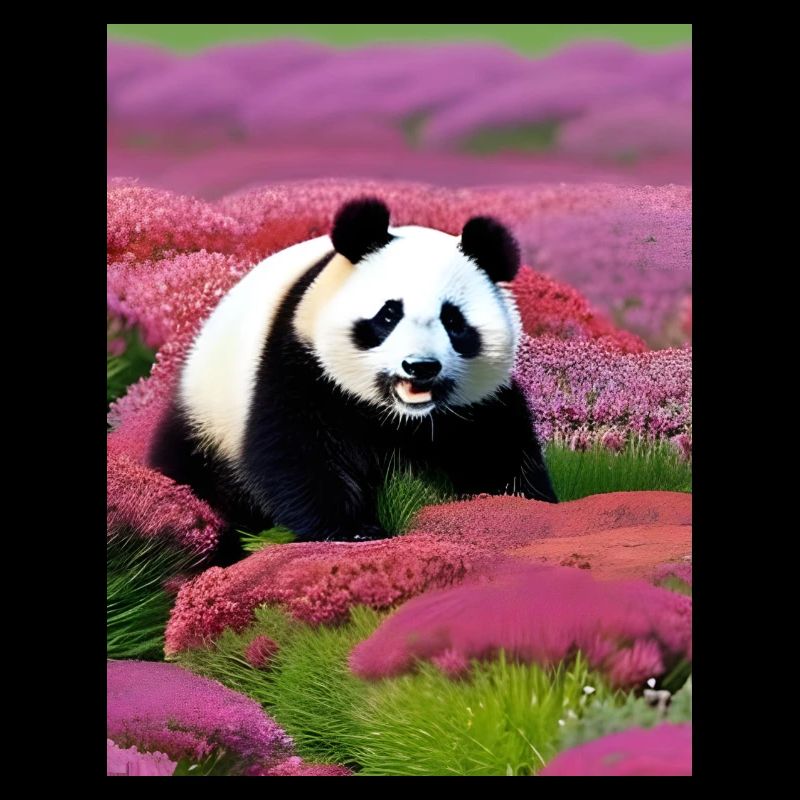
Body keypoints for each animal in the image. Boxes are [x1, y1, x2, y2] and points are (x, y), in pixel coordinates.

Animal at [149, 198, 557, 549]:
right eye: (388, 314)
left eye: (453, 321)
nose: (420, 366)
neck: (402, 418)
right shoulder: (301, 364)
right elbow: (298, 452)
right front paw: (355, 529)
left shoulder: (481, 404)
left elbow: (499, 448)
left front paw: (520, 505)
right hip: (208, 420)